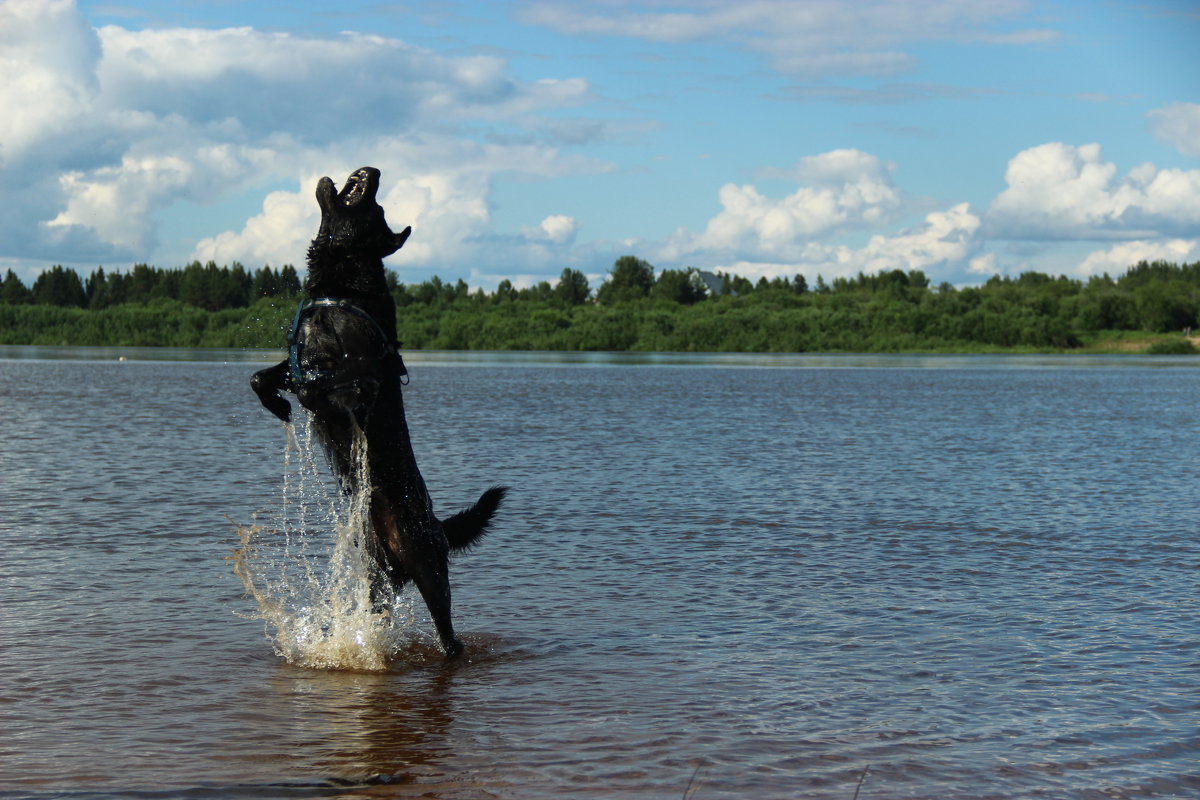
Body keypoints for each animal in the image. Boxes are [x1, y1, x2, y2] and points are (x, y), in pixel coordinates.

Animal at [250, 167, 504, 657]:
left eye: (377, 207)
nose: (372, 170)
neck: (340, 283)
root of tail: (439, 527)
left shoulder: (360, 379)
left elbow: (320, 384)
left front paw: (298, 399)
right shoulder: (296, 358)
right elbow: (261, 377)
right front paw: (276, 404)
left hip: (428, 569)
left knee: (449, 637)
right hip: (376, 578)